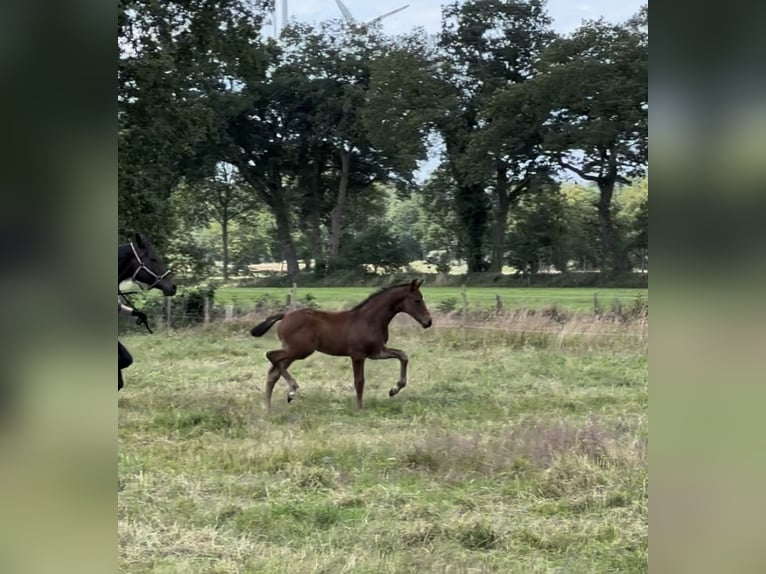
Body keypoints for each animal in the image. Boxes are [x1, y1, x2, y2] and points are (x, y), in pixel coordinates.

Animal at [250, 280, 432, 410]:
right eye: (417, 300)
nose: (428, 322)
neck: (370, 320)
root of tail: (285, 315)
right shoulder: (358, 355)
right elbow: (359, 381)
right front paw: (360, 408)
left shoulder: (376, 352)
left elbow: (403, 355)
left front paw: (394, 390)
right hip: (300, 350)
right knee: (271, 356)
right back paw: (292, 389)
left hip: (293, 351)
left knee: (273, 372)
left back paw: (271, 407)